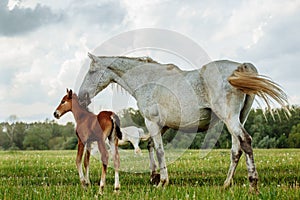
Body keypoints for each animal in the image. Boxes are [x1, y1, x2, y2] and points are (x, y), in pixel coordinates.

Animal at [78, 52, 290, 192]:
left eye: (91, 71)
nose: (81, 97)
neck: (148, 80)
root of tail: (240, 67)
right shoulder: (162, 126)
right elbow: (151, 146)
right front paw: (154, 176)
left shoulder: (152, 122)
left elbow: (160, 150)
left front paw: (162, 182)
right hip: (239, 118)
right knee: (236, 150)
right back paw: (226, 184)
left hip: (229, 118)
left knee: (245, 142)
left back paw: (253, 184)